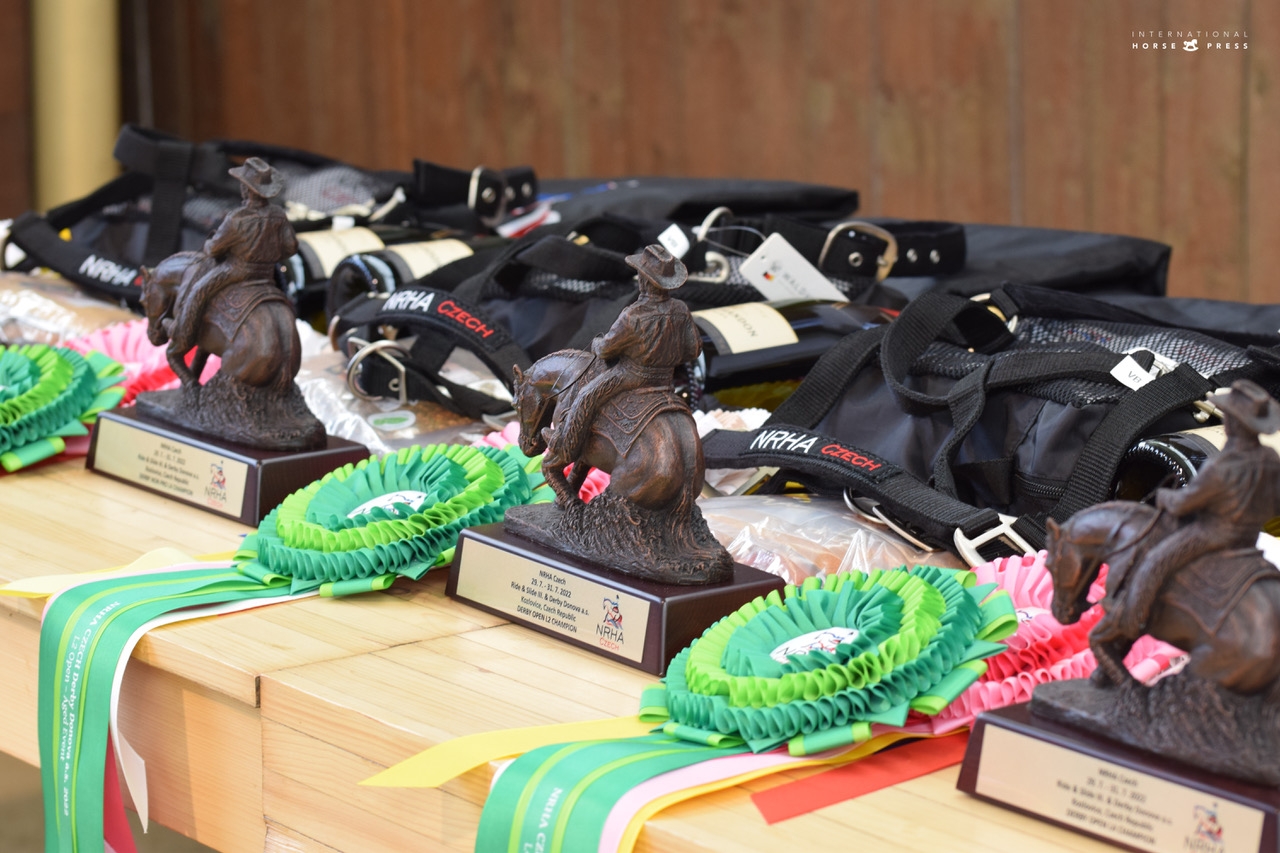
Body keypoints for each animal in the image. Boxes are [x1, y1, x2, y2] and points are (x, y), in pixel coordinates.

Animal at [140, 251, 300, 393]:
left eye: (143, 301)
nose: (151, 336)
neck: (185, 277)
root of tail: (286, 360)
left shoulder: (185, 331)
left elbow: (172, 353)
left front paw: (191, 385)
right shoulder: (205, 341)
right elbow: (198, 360)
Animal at [512, 349, 704, 513]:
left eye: (515, 405)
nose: (525, 446)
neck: (570, 379)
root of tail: (687, 470)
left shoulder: (566, 441)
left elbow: (556, 466)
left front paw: (569, 504)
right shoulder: (588, 451)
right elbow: (578, 472)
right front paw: (562, 503)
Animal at [1046, 501, 1280, 694]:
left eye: (1049, 565)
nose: (1059, 613)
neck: (1130, 541)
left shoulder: (1121, 616)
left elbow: (1098, 640)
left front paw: (1127, 686)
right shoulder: (1132, 623)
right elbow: (1119, 647)